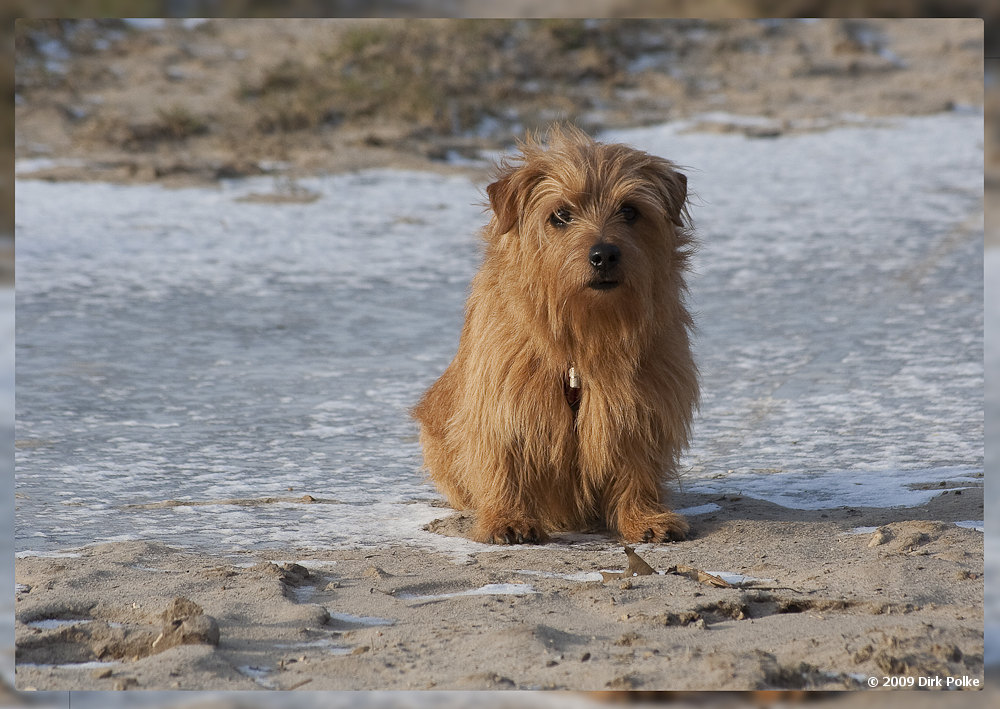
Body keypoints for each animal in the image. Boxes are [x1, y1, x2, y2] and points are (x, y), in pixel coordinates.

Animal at [410, 126, 700, 544]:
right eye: (560, 215)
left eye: (630, 211)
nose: (604, 255)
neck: (583, 333)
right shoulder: (501, 403)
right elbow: (502, 462)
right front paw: (507, 519)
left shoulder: (642, 406)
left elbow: (636, 468)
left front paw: (644, 517)